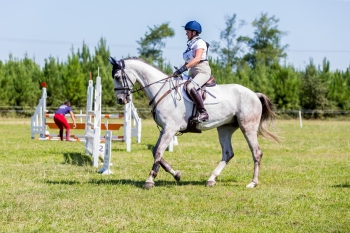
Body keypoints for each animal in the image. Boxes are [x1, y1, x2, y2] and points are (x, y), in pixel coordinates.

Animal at [108, 56, 280, 189]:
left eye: (117, 77)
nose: (121, 100)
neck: (162, 90)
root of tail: (254, 94)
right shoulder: (165, 130)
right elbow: (156, 151)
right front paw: (176, 174)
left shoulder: (170, 129)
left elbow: (158, 152)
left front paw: (150, 180)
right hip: (225, 128)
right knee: (228, 153)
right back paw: (211, 179)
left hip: (247, 127)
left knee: (256, 152)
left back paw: (253, 183)